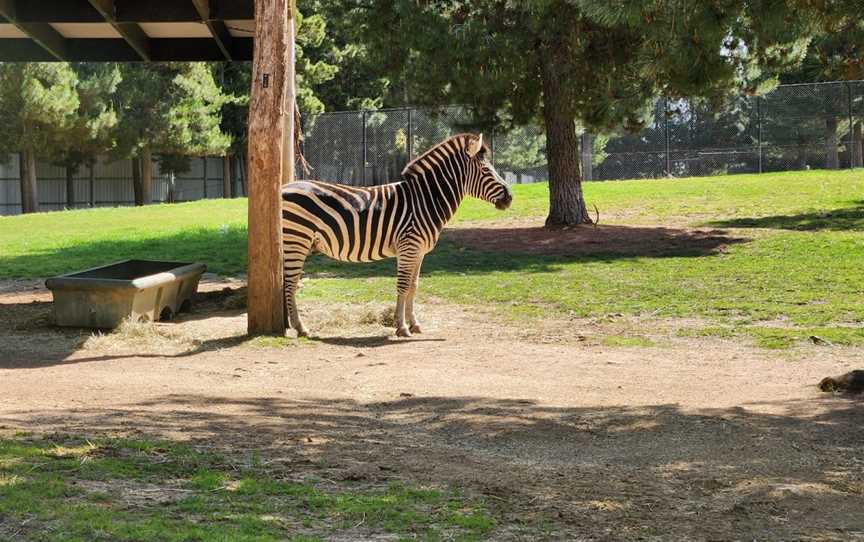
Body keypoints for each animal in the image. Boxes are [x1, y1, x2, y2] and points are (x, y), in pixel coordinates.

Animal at [282, 133, 512, 338]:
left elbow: (413, 286)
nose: (510, 197)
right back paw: (300, 328)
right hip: (297, 241)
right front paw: (401, 327)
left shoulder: (419, 252)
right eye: (486, 170)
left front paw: (414, 324)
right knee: (290, 283)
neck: (425, 200)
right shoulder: (408, 247)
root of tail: (284, 187)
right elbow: (402, 285)